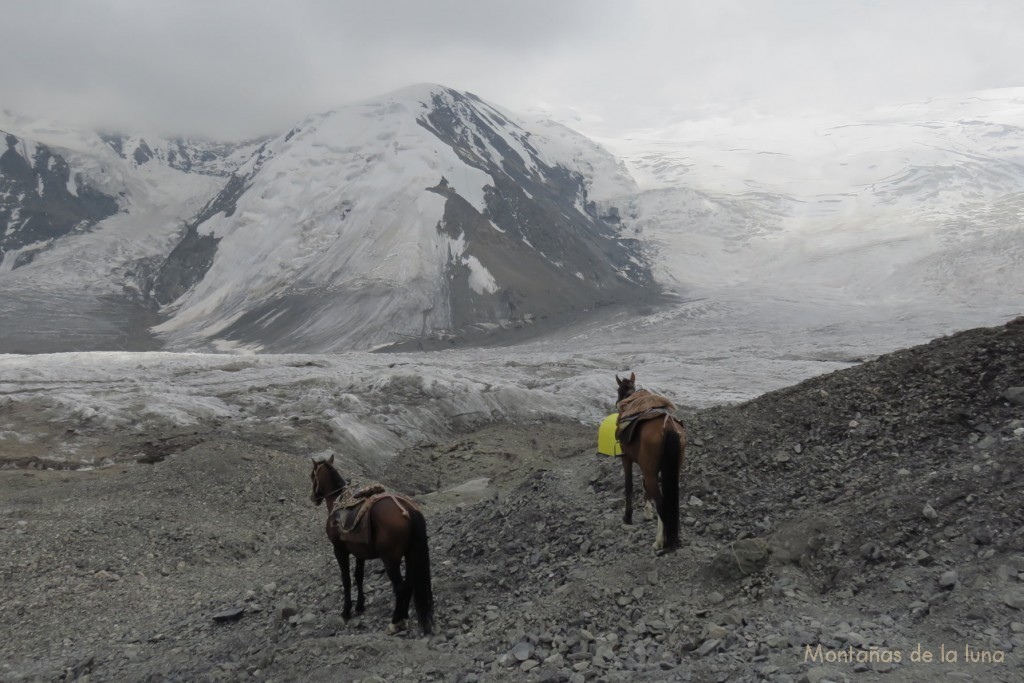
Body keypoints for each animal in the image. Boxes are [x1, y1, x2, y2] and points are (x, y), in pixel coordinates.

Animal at [305, 454, 430, 634]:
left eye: (311, 476)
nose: (313, 498)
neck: (338, 501)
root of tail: (408, 509)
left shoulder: (339, 550)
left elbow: (346, 579)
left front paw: (346, 611)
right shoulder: (359, 552)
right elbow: (359, 576)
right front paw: (359, 606)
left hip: (390, 560)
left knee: (400, 587)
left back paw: (396, 621)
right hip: (410, 555)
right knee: (409, 584)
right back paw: (404, 616)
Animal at [614, 370, 688, 552]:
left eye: (618, 390)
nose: (617, 403)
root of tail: (667, 425)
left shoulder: (626, 459)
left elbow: (629, 486)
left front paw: (627, 517)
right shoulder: (650, 468)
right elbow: (644, 487)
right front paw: (647, 513)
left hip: (651, 473)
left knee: (662, 503)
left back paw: (660, 541)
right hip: (669, 470)